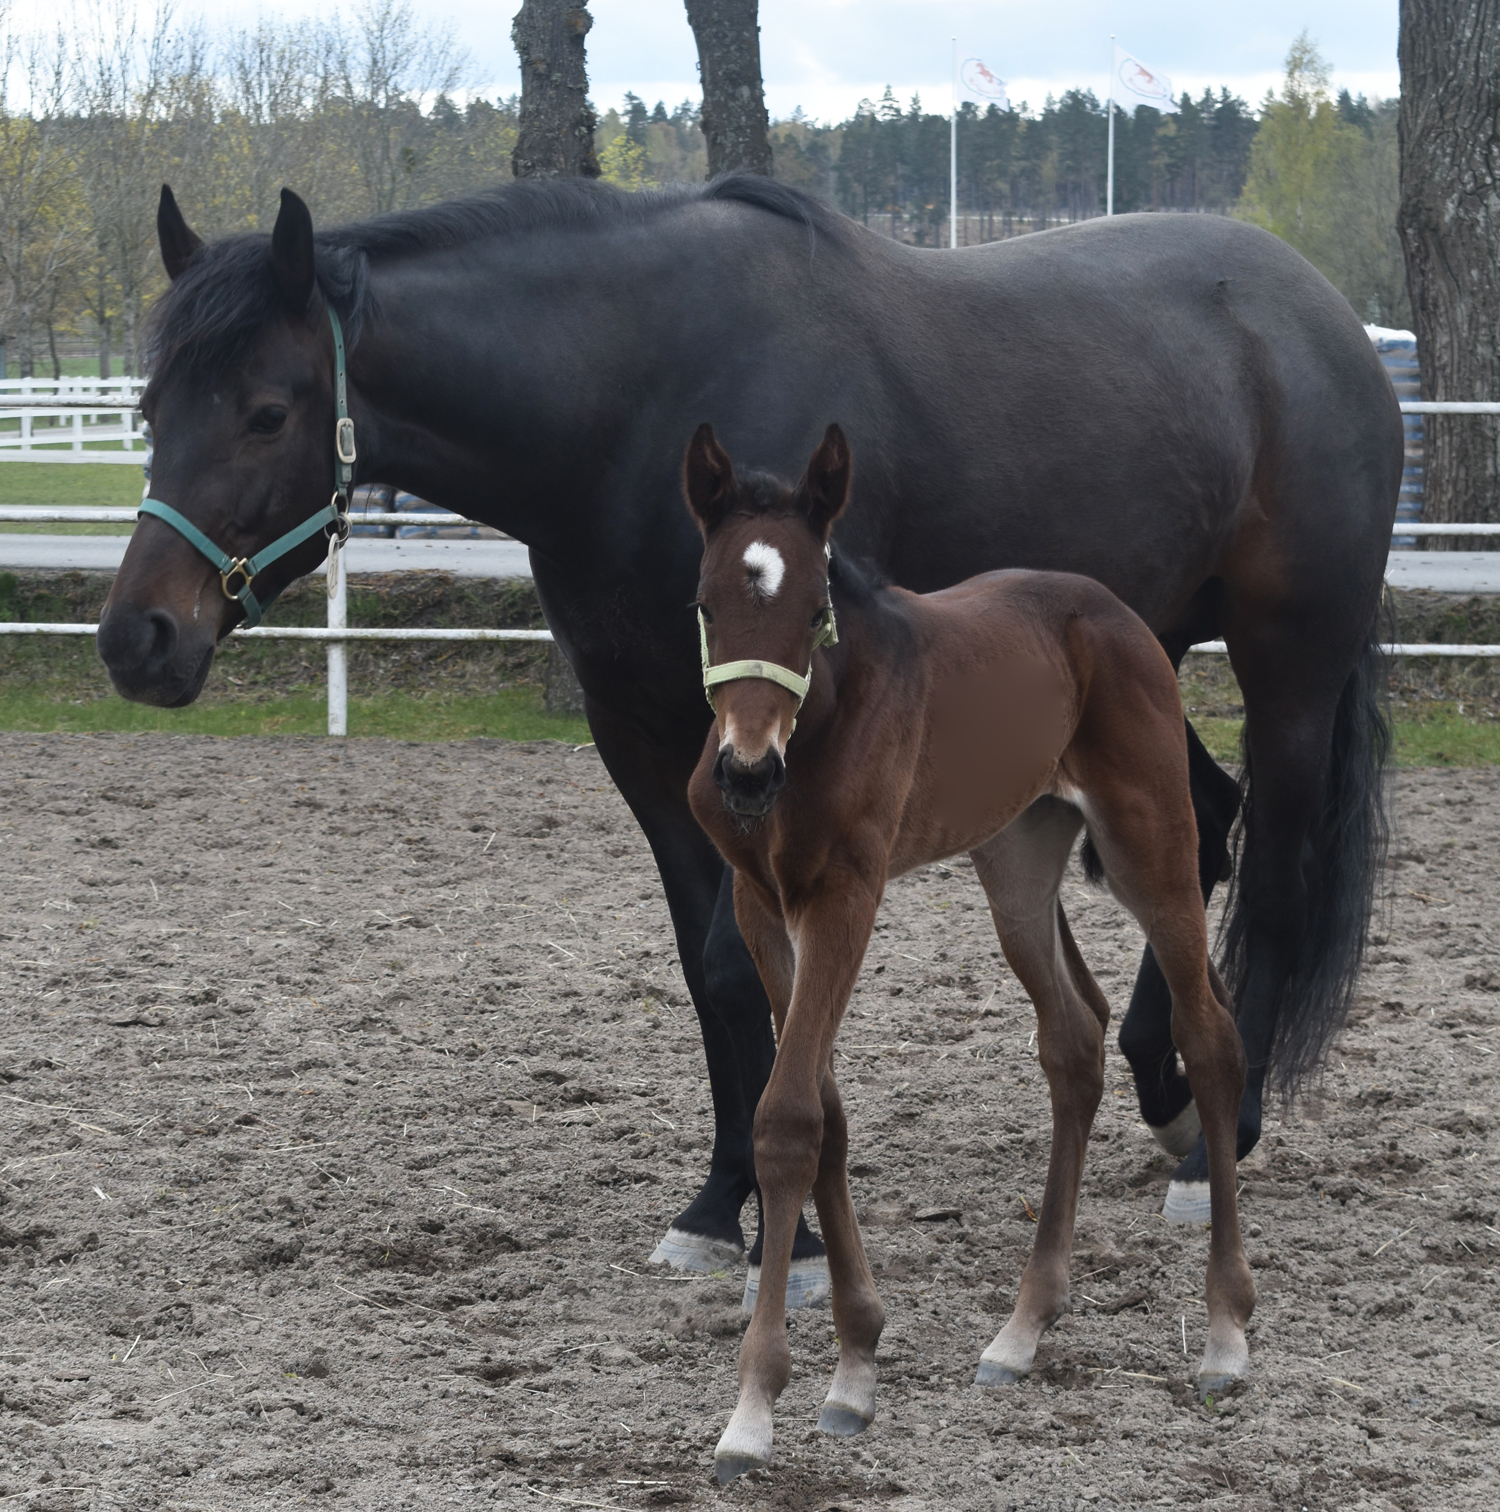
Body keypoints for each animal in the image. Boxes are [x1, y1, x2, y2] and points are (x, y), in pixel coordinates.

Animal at [99, 173, 1403, 1288]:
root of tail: (1323, 319)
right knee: (1204, 832)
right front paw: (719, 1203)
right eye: (149, 405)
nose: (137, 638)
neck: (637, 399)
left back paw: (1225, 1133)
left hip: (1287, 672)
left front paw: (800, 1224)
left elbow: (770, 964)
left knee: (1274, 869)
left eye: (268, 410)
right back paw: (1167, 1088)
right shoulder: (643, 743)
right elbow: (715, 970)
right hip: (1137, 665)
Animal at [683, 420, 1252, 1481]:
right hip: (1017, 857)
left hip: (1150, 841)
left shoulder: (847, 895)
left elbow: (788, 1119)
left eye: (816, 610)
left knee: (1209, 1037)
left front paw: (755, 1409)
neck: (821, 721)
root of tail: (1112, 612)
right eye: (704, 603)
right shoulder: (761, 901)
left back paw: (1227, 1335)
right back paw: (1021, 1333)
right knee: (1073, 1037)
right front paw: (856, 1366)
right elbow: (824, 1109)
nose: (744, 772)